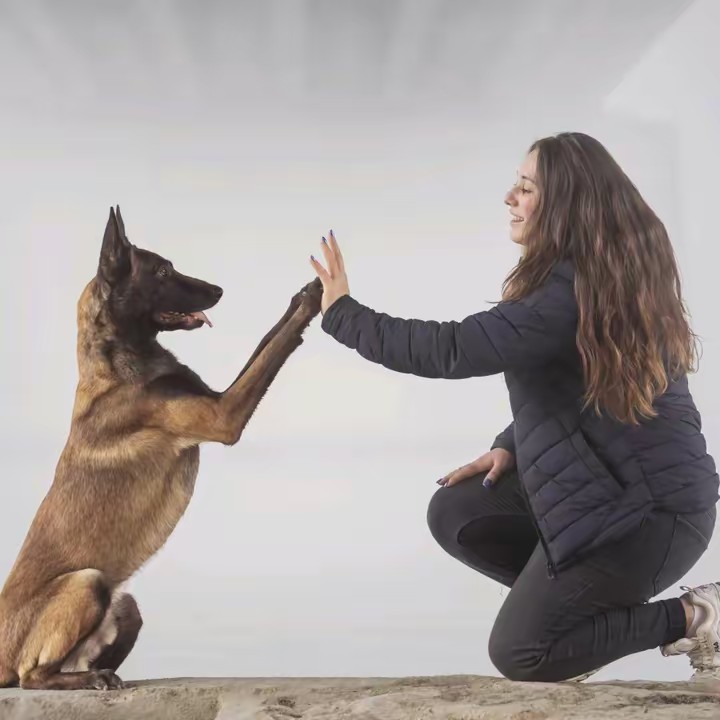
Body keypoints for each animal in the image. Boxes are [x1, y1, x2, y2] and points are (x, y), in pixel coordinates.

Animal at [0, 207, 322, 690]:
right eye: (163, 272)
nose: (218, 290)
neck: (116, 358)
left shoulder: (215, 399)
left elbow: (267, 340)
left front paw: (303, 292)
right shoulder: (223, 414)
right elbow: (271, 352)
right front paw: (312, 301)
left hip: (126, 605)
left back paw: (101, 673)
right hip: (86, 582)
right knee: (32, 677)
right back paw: (87, 680)